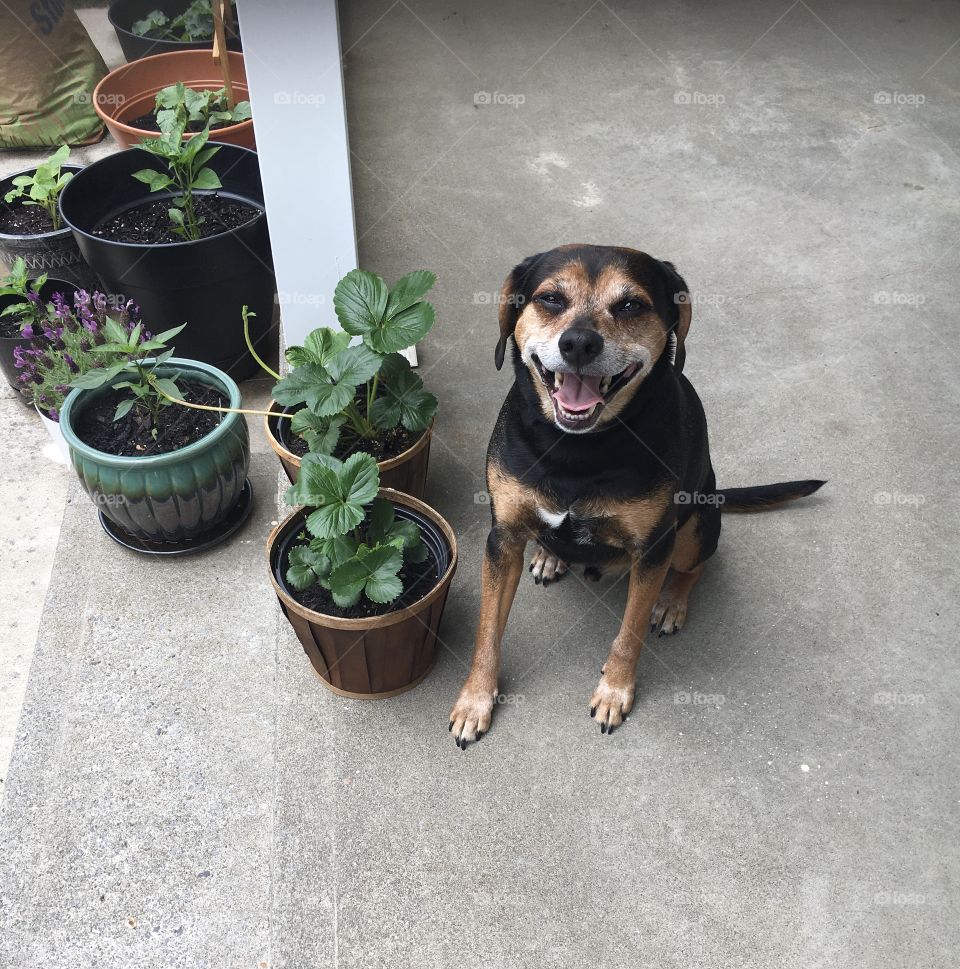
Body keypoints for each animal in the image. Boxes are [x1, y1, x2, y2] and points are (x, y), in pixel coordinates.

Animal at [446, 246, 820, 744]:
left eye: (630, 305)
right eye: (550, 299)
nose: (579, 344)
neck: (577, 450)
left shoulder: (654, 547)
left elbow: (629, 634)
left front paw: (614, 692)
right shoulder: (501, 539)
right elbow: (487, 633)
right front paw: (475, 700)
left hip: (697, 525)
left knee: (696, 566)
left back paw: (672, 603)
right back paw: (550, 555)